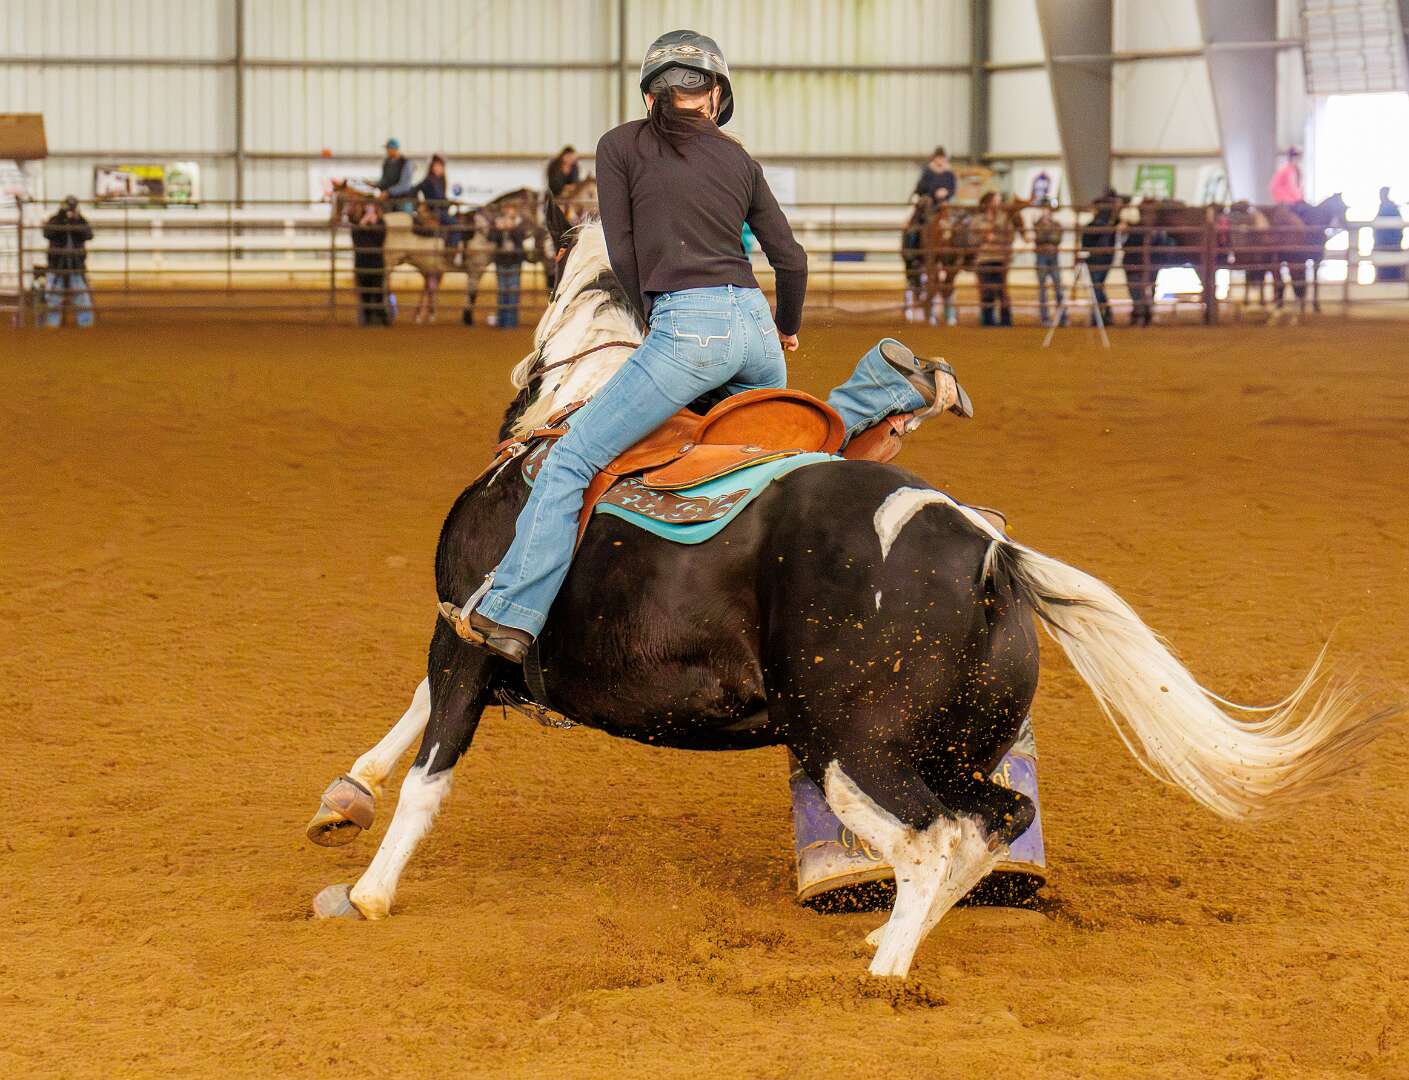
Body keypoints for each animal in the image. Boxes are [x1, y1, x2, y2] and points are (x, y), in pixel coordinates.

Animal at [304, 220, 1389, 979]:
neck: (563, 421)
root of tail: (988, 551)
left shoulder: (465, 634)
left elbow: (431, 765)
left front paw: (366, 890)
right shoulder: (471, 636)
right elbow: (409, 720)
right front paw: (341, 800)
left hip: (849, 750)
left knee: (935, 838)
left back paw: (884, 968)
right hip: (945, 746)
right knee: (989, 821)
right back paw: (890, 944)